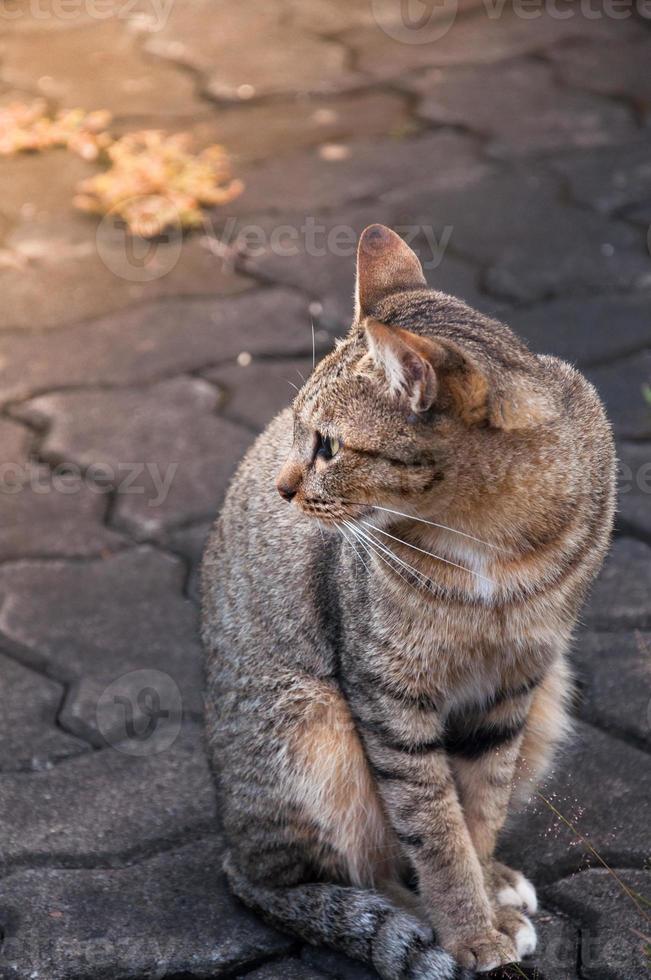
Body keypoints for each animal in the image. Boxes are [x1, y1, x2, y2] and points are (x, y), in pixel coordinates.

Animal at [202, 226, 616, 976]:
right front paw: (469, 932)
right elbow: (434, 830)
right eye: (298, 432)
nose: (282, 486)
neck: (485, 534)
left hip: (549, 698)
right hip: (311, 725)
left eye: (328, 446)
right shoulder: (388, 696)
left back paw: (498, 882)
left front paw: (484, 894)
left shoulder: (512, 686)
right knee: (348, 872)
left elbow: (478, 809)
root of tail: (236, 856)